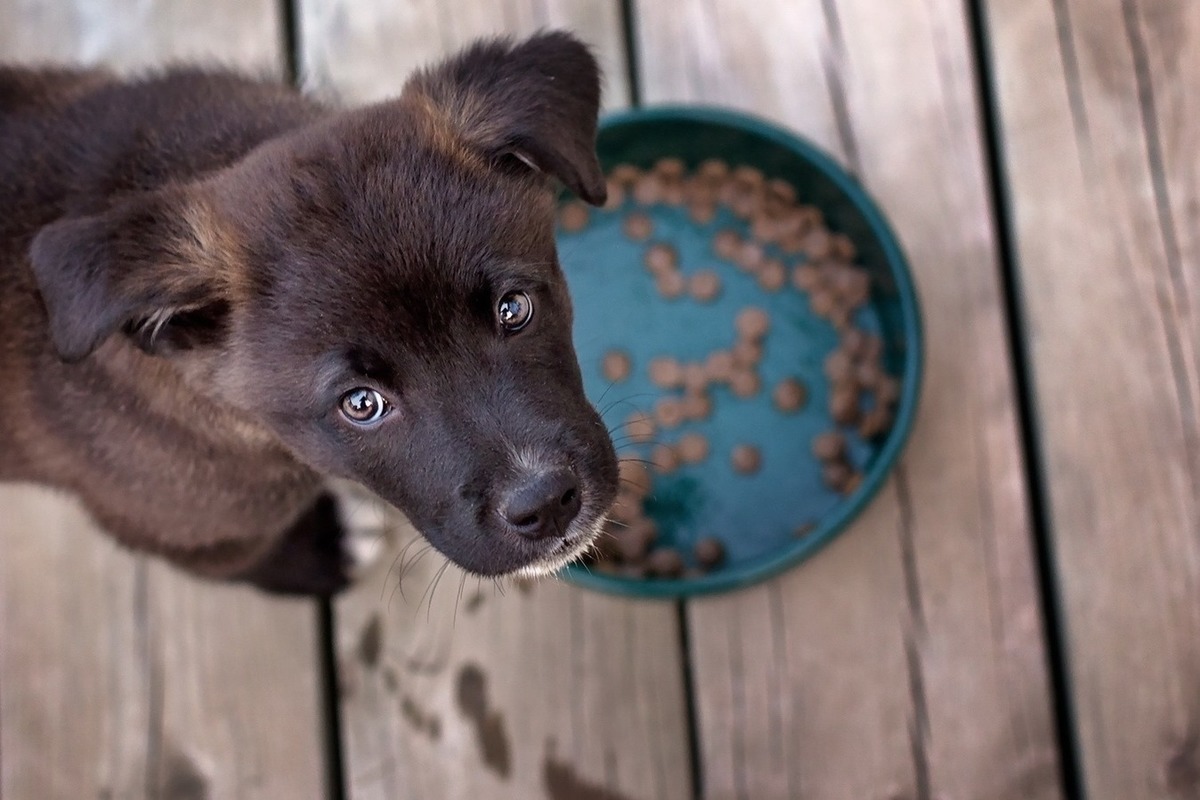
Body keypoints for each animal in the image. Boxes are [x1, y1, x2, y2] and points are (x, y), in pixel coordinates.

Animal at [0, 31, 619, 594]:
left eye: (514, 309)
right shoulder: (171, 527)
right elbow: (241, 561)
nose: (546, 504)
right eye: (361, 404)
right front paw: (324, 553)